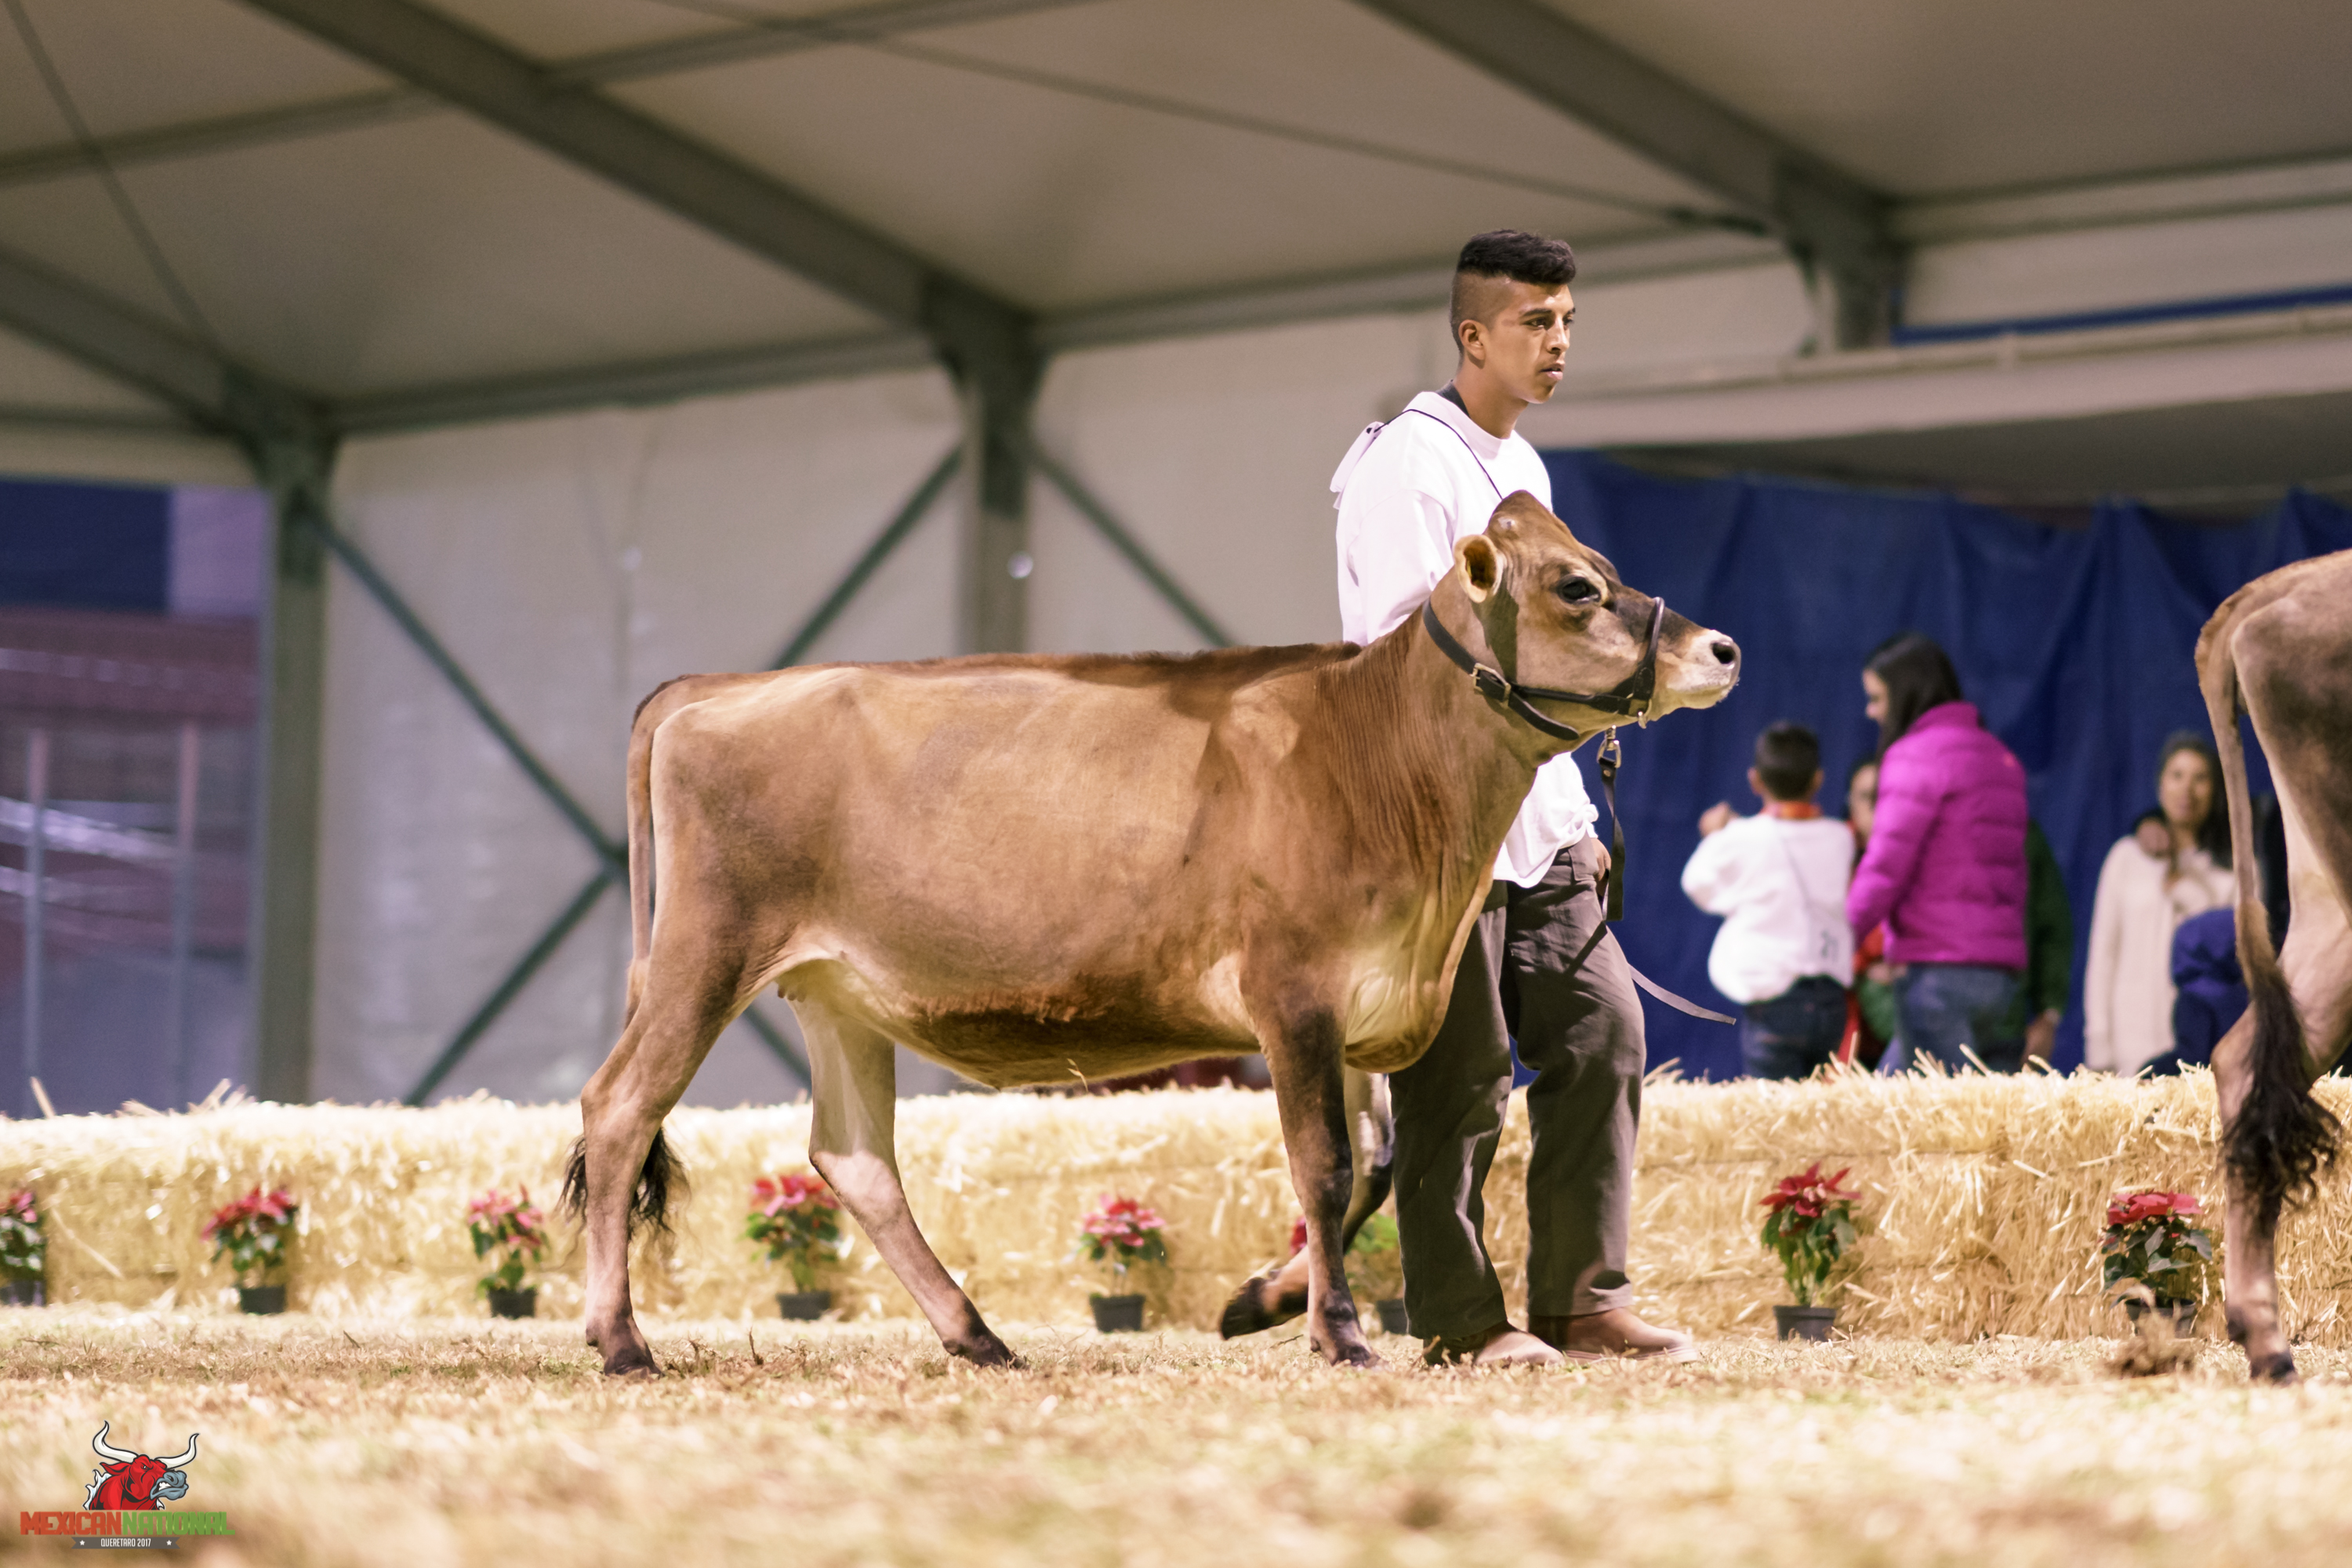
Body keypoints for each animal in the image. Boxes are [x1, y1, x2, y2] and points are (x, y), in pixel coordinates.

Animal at [562, 494, 1740, 1377]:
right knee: (618, 1110)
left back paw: (976, 1335)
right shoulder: (1292, 989)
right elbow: (1323, 1164)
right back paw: (622, 1342)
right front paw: (1339, 1333)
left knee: (854, 1159)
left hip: (835, 989)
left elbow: (1369, 1166)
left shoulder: (1355, 1001)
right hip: (706, 951)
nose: (1723, 646)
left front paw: (1258, 1302)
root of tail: (721, 689)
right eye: (1578, 586)